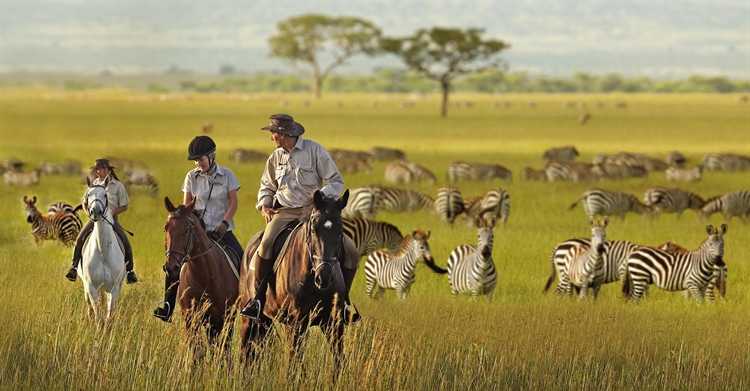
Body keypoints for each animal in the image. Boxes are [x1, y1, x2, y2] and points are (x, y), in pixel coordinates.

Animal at [78, 179, 125, 324]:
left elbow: (109, 316)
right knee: (90, 307)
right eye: (88, 194)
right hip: (88, 287)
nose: (96, 212)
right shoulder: (92, 287)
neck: (103, 251)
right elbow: (97, 314)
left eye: (105, 195)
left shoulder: (114, 288)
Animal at [164, 198, 241, 348]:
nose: (171, 267)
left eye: (187, 229)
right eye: (166, 227)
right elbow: (197, 349)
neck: (205, 275)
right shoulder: (190, 318)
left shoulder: (223, 316)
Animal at [241, 190, 352, 376]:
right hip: (250, 318)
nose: (324, 276)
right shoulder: (295, 324)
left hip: (266, 320)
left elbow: (339, 362)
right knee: (246, 350)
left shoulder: (334, 324)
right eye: (314, 229)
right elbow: (294, 364)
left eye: (340, 231)